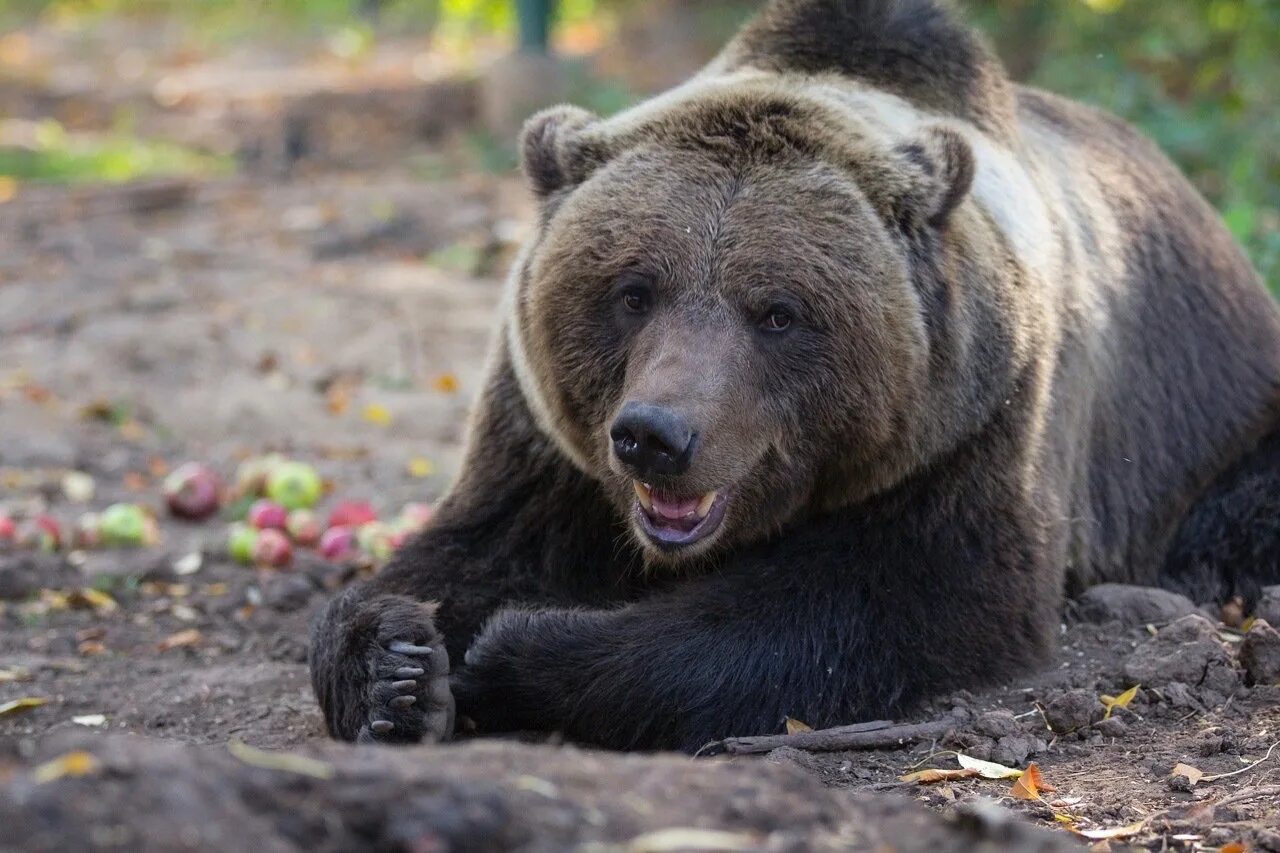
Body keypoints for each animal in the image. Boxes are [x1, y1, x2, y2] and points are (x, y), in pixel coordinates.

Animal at [307, 0, 1280, 747]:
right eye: (632, 289)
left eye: (778, 311)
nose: (656, 435)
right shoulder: (544, 440)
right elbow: (467, 546)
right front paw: (397, 664)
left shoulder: (979, 424)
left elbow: (891, 598)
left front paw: (520, 649)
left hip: (1215, 411)